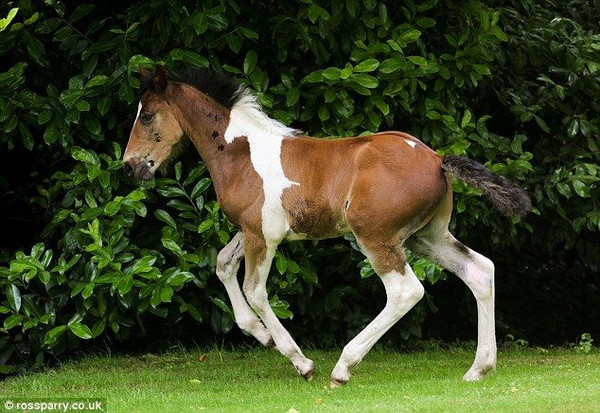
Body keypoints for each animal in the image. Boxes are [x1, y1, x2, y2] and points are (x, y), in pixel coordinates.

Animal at [123, 66, 528, 384]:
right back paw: (479, 368)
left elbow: (255, 289)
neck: (241, 152)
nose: (129, 166)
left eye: (147, 115)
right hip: (426, 237)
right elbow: (223, 264)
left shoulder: (263, 236)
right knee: (480, 270)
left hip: (376, 236)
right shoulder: (251, 230)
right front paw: (261, 335)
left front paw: (301, 362)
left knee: (405, 291)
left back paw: (343, 367)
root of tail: (437, 159)